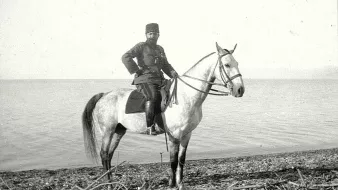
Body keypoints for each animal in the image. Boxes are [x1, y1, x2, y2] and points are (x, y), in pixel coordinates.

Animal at [82, 42, 246, 189]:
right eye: (227, 65)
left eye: (237, 63)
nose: (240, 89)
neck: (186, 95)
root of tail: (104, 95)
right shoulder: (175, 135)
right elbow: (173, 161)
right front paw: (172, 184)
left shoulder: (187, 134)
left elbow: (181, 160)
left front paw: (180, 183)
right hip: (107, 131)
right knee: (104, 154)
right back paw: (109, 184)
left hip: (118, 131)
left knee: (109, 155)